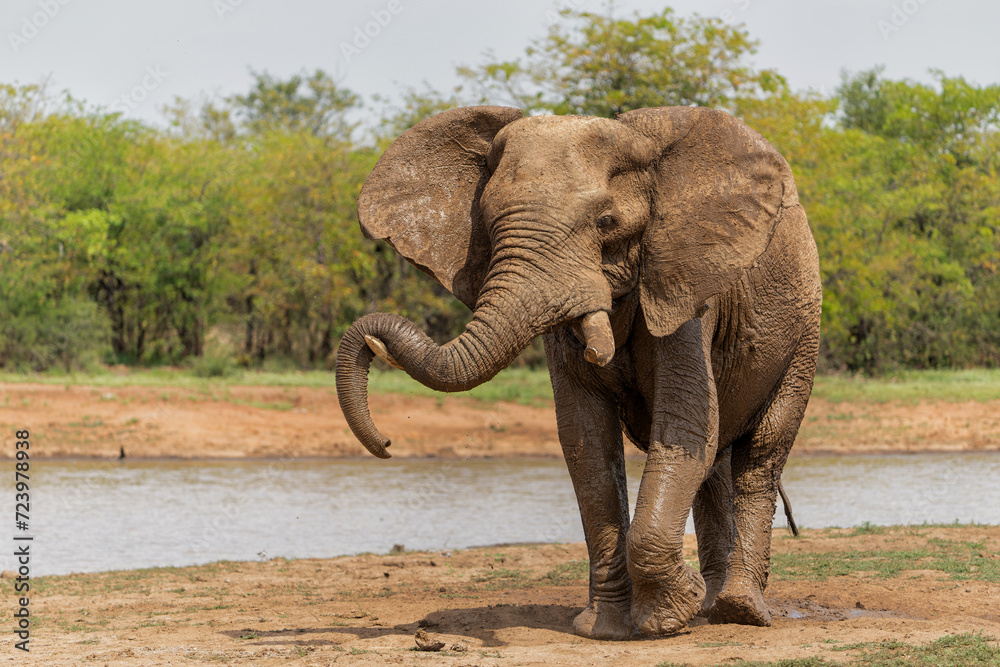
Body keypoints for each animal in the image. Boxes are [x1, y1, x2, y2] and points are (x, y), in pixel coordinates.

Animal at [335, 105, 821, 639]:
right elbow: (585, 441)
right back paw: (711, 606)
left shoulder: (684, 286)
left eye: (607, 222)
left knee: (760, 453)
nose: (386, 443)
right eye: (487, 221)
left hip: (805, 329)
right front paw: (606, 629)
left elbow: (684, 424)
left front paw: (664, 618)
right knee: (714, 463)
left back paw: (740, 610)